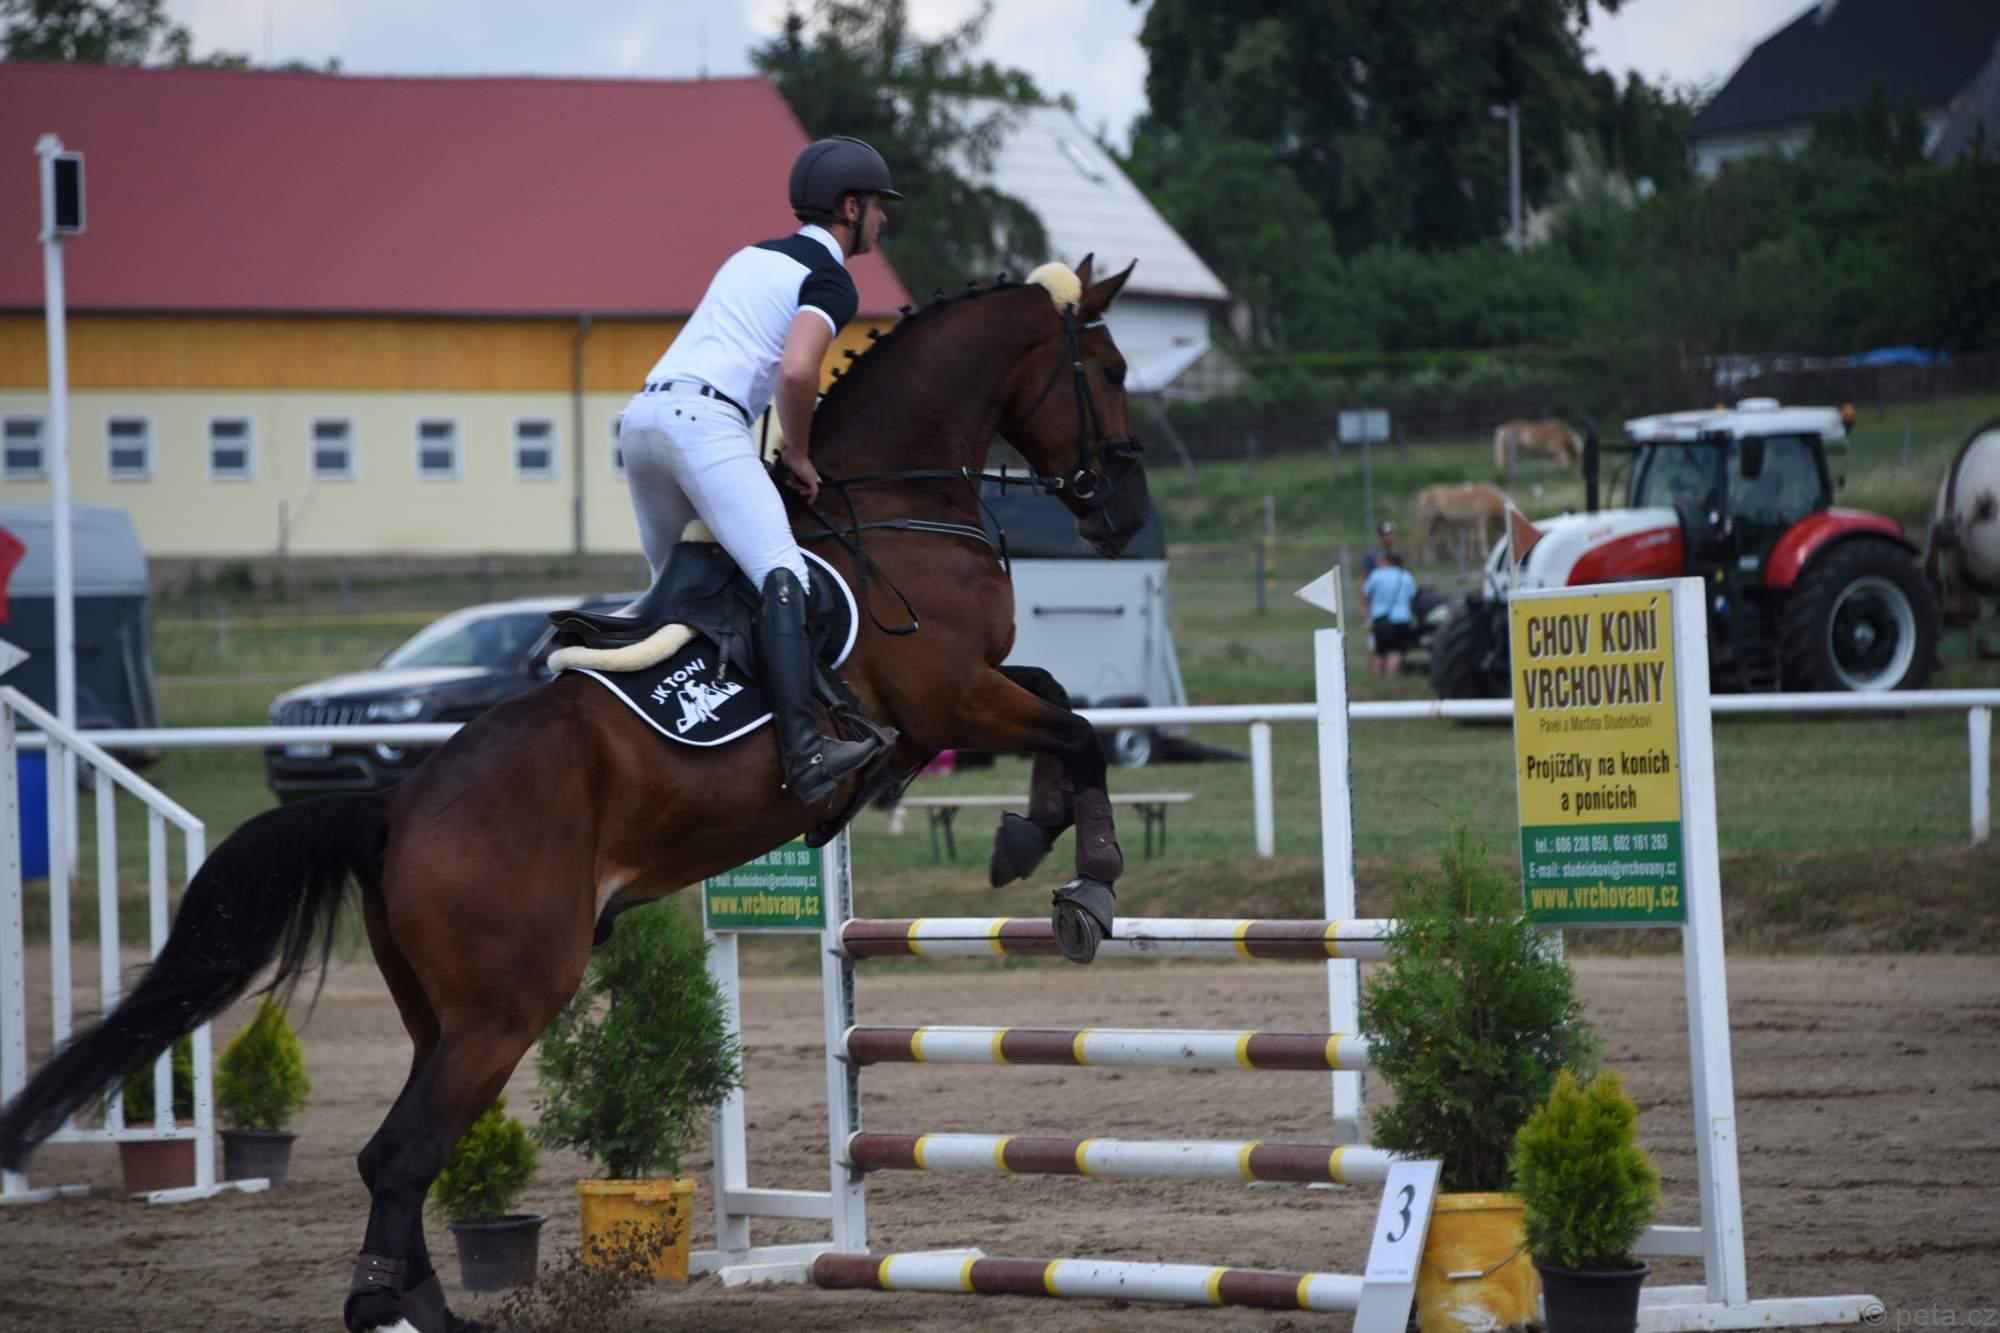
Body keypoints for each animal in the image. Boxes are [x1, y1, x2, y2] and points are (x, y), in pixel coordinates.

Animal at [0, 257, 1152, 1333]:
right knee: (402, 1153)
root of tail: (394, 808)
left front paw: (1025, 833)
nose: (1125, 516)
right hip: (509, 1003)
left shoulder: (962, 697)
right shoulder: (948, 694)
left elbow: (1062, 706)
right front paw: (1086, 881)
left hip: (443, 1012)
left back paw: (422, 1300)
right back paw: (399, 1308)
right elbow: (1080, 730)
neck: (890, 500)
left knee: (403, 1148)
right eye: (1107, 371)